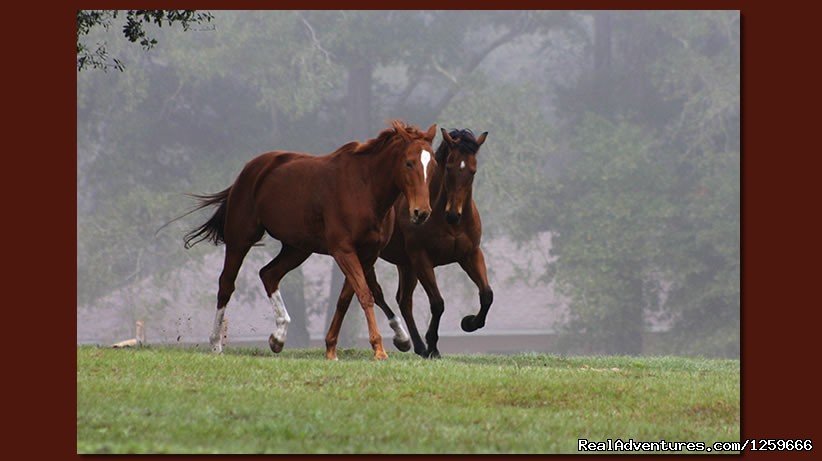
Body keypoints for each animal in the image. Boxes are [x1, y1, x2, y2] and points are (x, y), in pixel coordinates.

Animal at [184, 120, 440, 358]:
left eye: (433, 165)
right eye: (409, 162)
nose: (421, 212)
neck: (364, 189)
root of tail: (250, 170)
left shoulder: (367, 254)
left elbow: (346, 298)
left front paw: (331, 348)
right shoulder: (344, 250)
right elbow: (365, 295)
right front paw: (378, 349)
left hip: (297, 248)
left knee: (269, 274)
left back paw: (278, 337)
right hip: (240, 239)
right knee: (226, 284)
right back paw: (216, 344)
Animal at [330, 127, 496, 358]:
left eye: (472, 171)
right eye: (449, 168)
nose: (453, 215)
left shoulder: (470, 254)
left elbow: (487, 294)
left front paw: (469, 323)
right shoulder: (421, 259)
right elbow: (437, 303)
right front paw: (433, 346)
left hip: (405, 265)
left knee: (403, 300)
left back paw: (417, 345)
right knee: (378, 292)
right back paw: (405, 339)